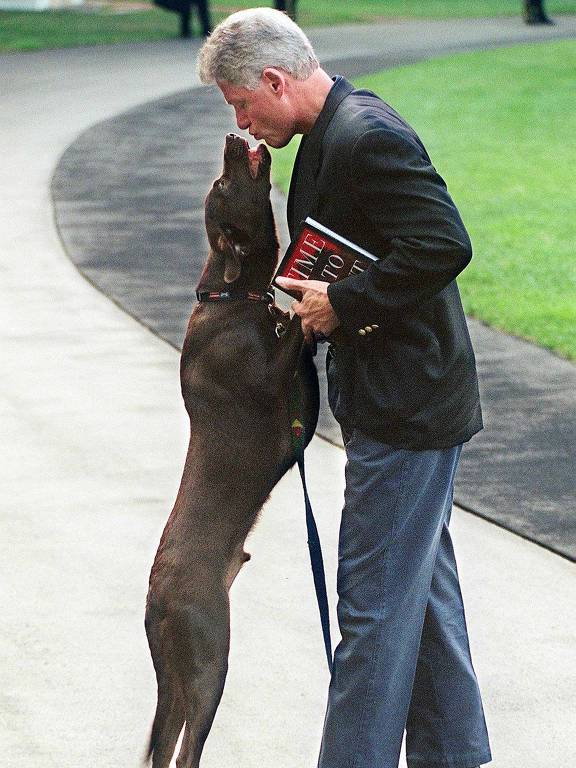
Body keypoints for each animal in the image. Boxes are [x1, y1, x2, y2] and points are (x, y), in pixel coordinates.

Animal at [144, 134, 320, 768]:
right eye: (223, 185)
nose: (234, 137)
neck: (230, 296)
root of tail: (155, 607)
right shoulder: (270, 374)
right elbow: (298, 331)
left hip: (177, 680)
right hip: (209, 659)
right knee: (186, 751)